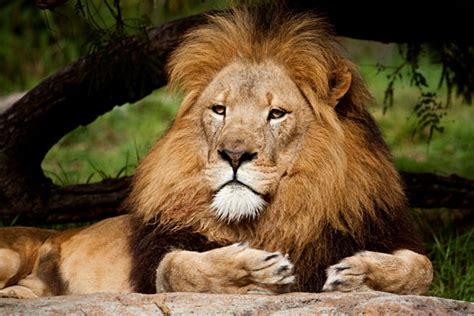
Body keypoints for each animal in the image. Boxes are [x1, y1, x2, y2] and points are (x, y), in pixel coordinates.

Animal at [0, 8, 434, 298]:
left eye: (276, 114)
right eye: (219, 110)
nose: (234, 154)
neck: (284, 214)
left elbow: (423, 268)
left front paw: (359, 272)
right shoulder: (155, 265)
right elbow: (178, 266)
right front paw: (249, 270)